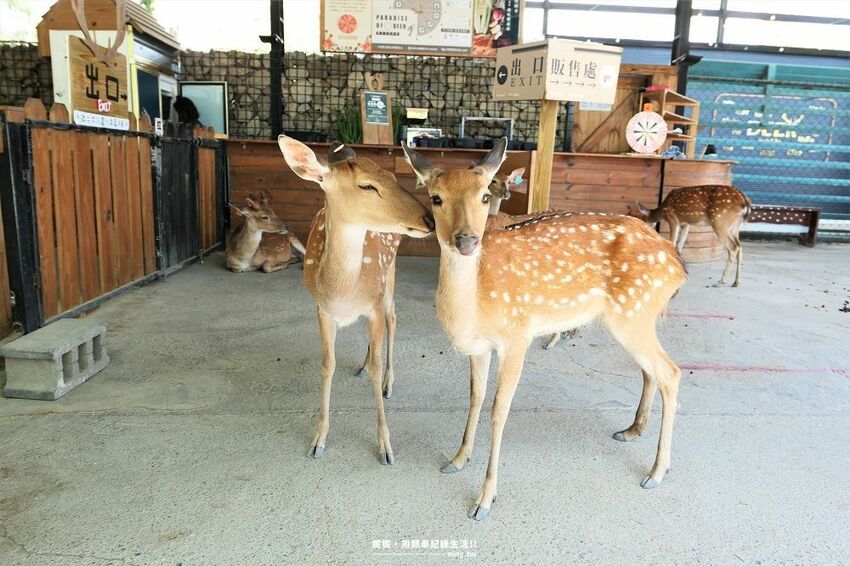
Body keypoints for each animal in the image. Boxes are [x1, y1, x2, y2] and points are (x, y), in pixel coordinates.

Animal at [278, 136, 434, 465]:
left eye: (393, 177)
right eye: (366, 186)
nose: (429, 219)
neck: (341, 293)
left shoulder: (373, 304)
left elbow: (377, 366)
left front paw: (386, 447)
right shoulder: (322, 311)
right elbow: (328, 364)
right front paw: (318, 440)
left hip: (389, 273)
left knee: (393, 318)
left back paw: (389, 382)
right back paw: (362, 364)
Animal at [403, 139, 687, 521]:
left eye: (484, 195)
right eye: (436, 197)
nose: (466, 240)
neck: (473, 308)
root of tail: (677, 264)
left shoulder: (516, 336)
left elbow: (498, 410)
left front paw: (485, 499)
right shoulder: (479, 347)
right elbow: (475, 398)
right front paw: (457, 459)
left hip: (633, 313)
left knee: (671, 372)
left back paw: (656, 471)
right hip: (634, 318)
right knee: (651, 371)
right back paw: (631, 431)